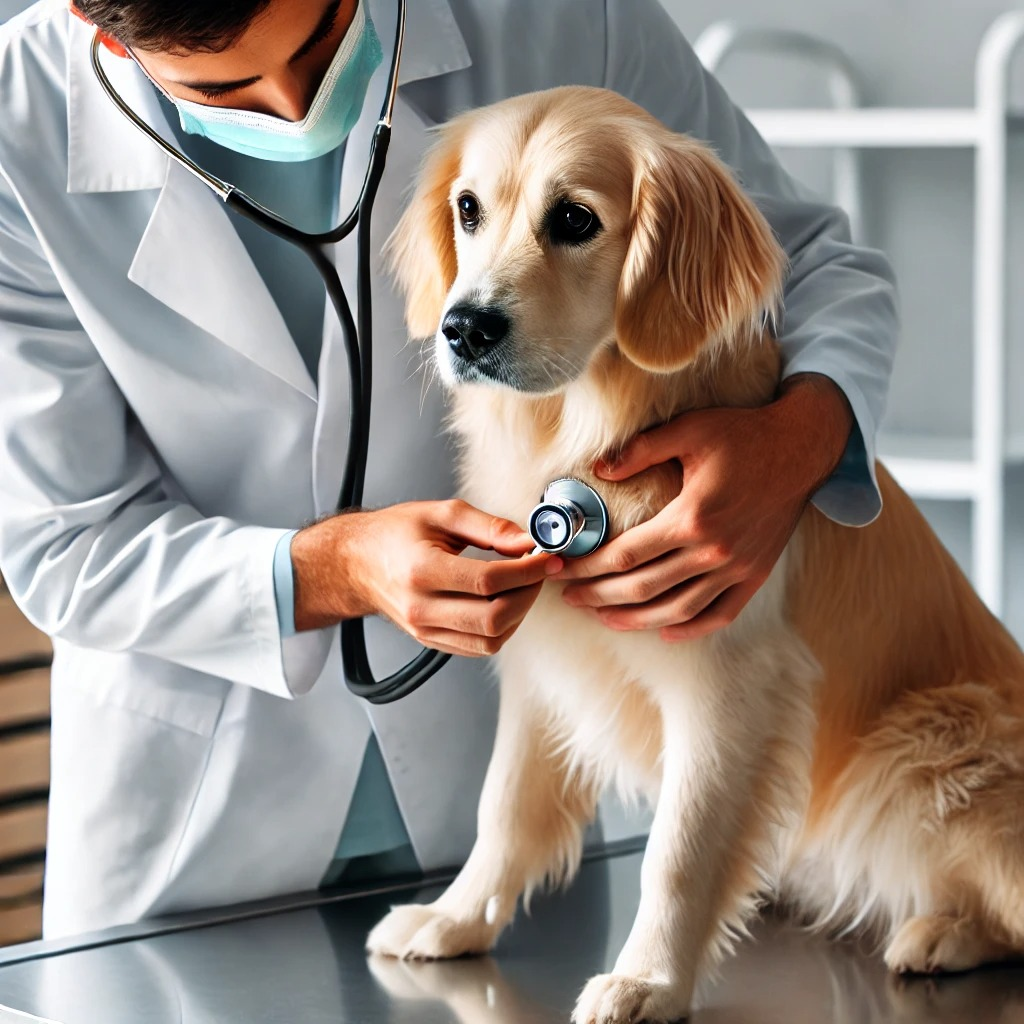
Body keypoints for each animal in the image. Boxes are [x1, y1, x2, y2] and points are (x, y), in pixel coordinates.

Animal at [366, 90, 1024, 1024]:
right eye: (468, 209)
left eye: (575, 219)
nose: (463, 327)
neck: (581, 432)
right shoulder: (541, 665)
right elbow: (505, 808)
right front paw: (456, 918)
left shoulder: (730, 687)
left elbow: (676, 854)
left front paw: (648, 979)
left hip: (930, 744)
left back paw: (939, 933)